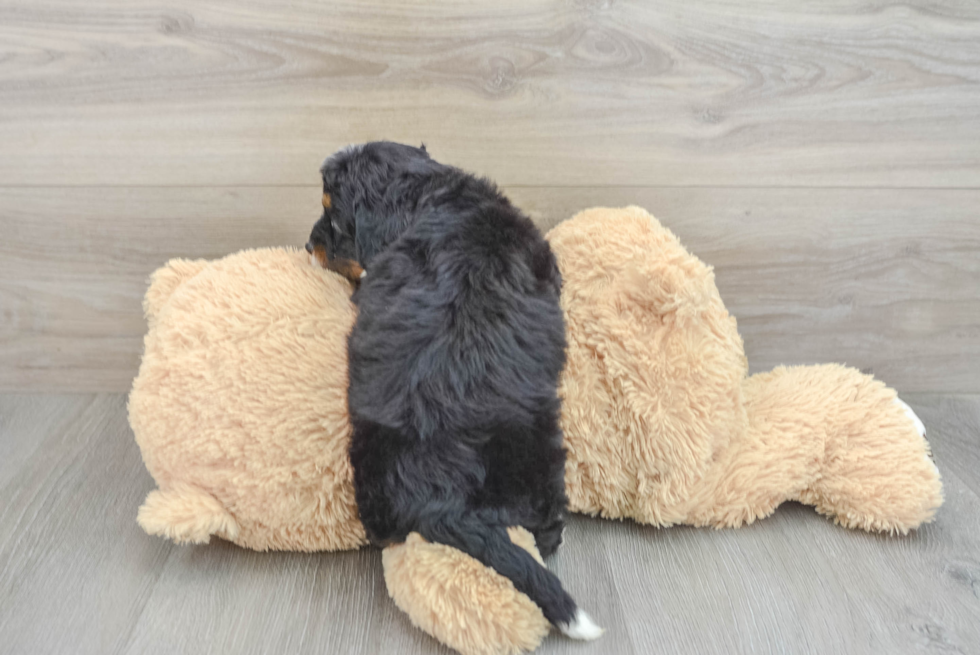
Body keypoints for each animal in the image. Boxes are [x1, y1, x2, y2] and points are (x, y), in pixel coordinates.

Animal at [306, 141, 600, 640]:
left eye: (335, 219)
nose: (310, 244)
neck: (432, 196)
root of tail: (437, 497)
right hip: (539, 457)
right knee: (542, 523)